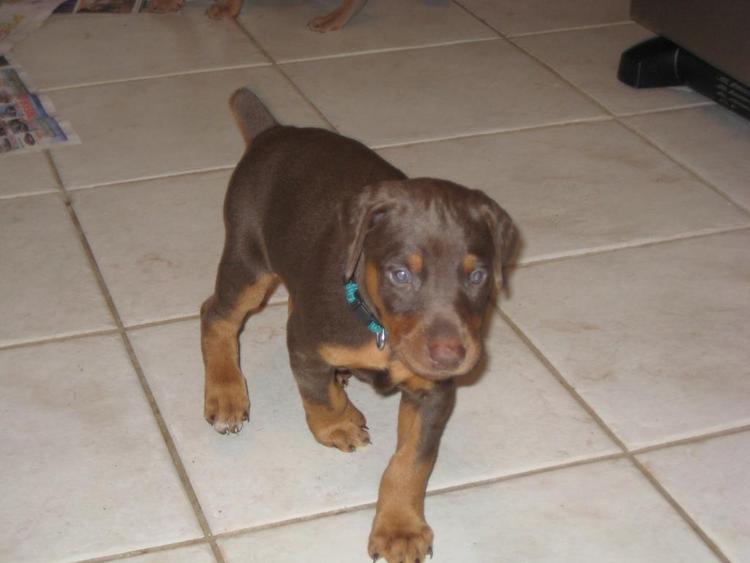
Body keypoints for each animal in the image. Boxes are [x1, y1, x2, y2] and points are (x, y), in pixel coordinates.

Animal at [200, 89, 516, 563]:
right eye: (400, 274)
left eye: (477, 276)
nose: (451, 356)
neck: (379, 327)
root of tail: (274, 131)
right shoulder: (307, 343)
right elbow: (316, 394)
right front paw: (338, 424)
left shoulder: (433, 393)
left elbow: (411, 462)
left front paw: (400, 529)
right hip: (248, 257)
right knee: (216, 316)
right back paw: (226, 394)